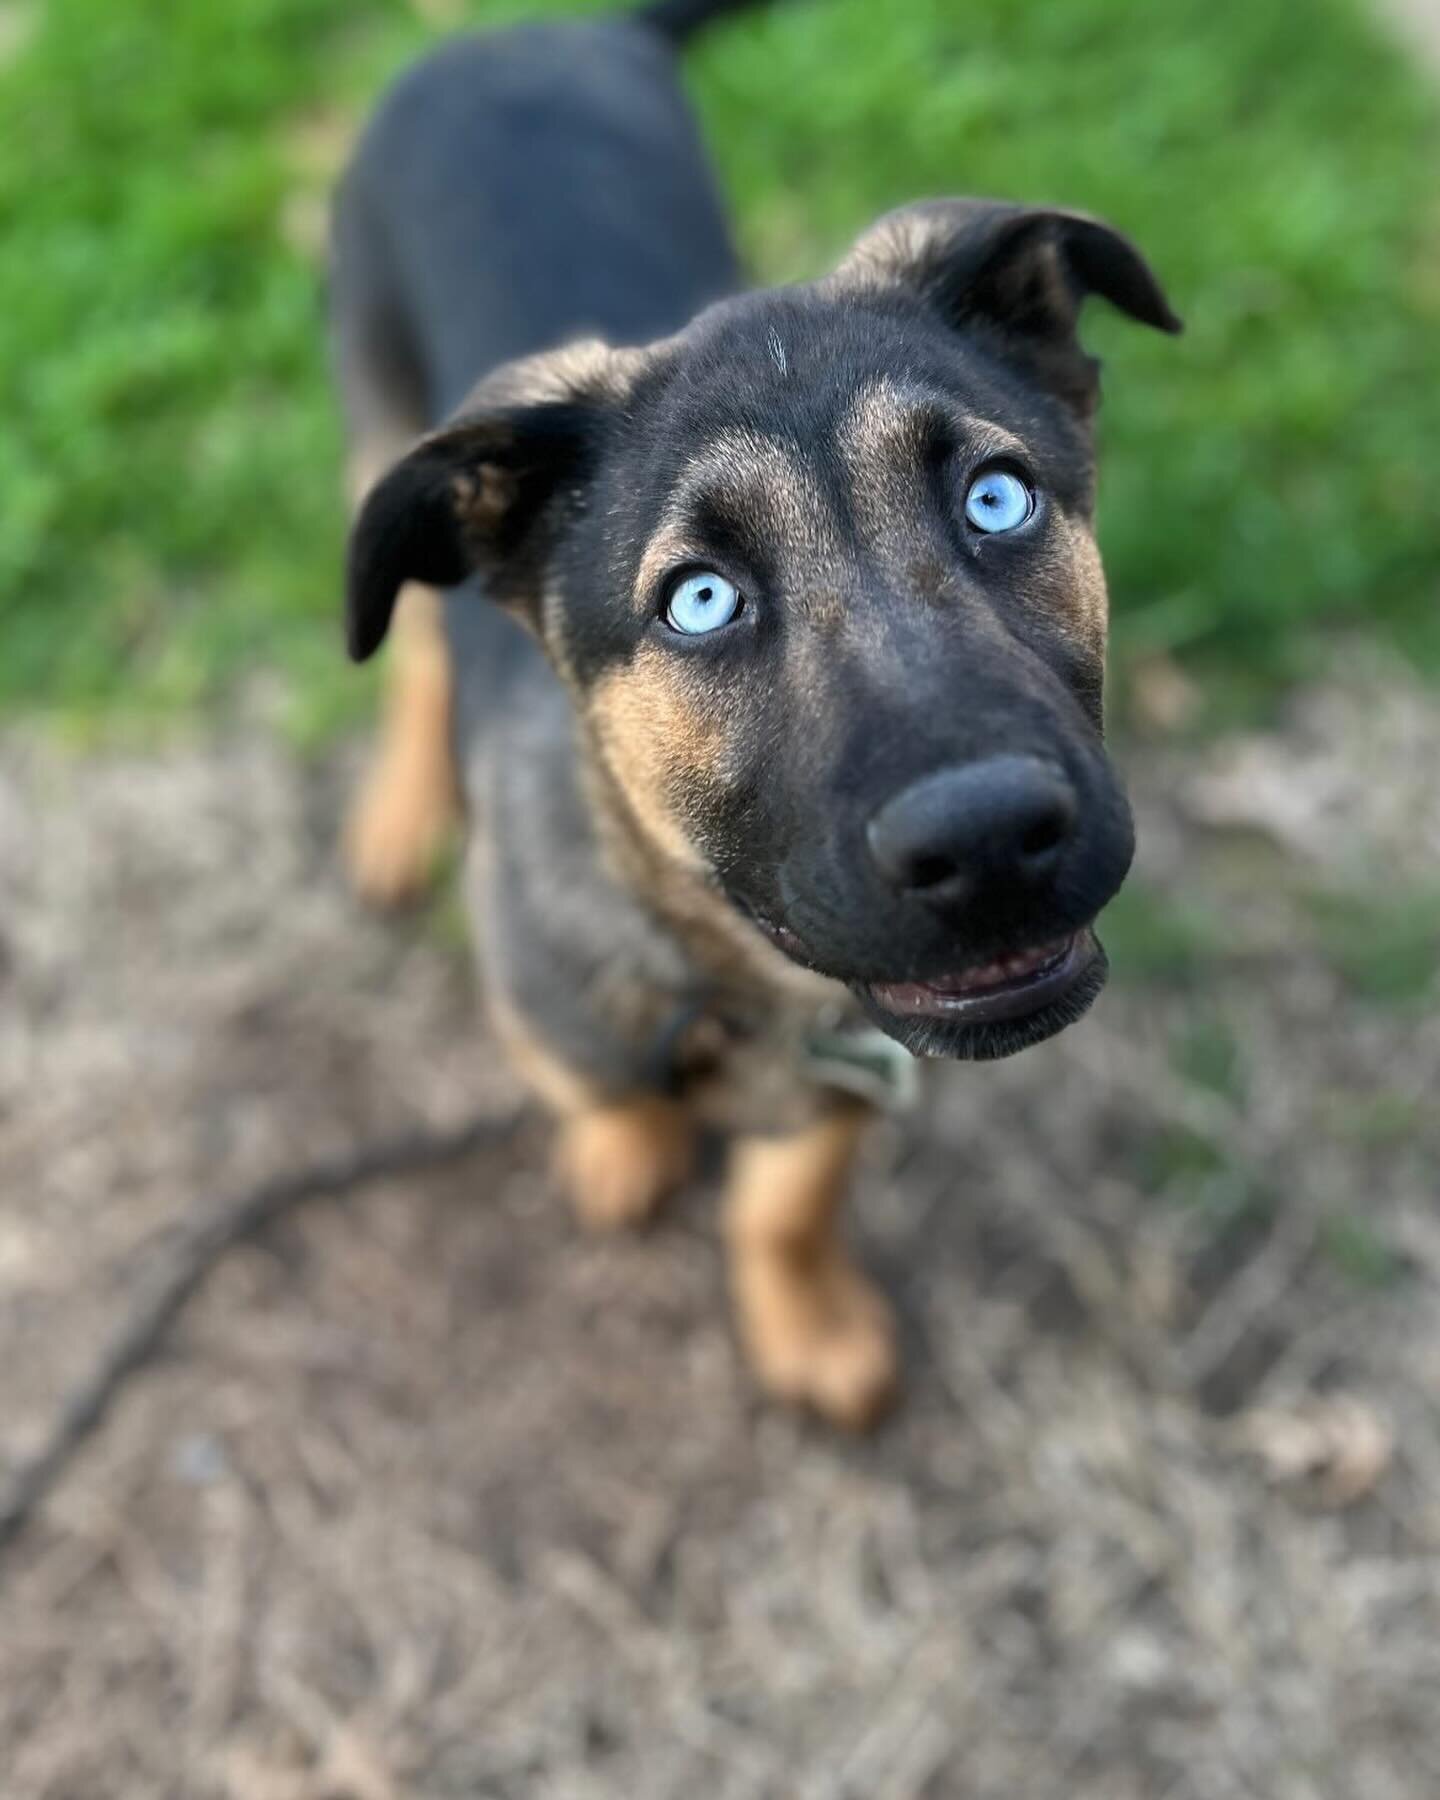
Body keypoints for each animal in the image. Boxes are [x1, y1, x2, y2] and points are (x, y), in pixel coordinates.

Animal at [334, 3, 1180, 1432]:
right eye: (702, 600)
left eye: (997, 499)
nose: (990, 840)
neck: (721, 965)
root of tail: (520, 33)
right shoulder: (549, 1003)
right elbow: (597, 1089)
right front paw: (628, 1148)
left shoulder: (854, 1054)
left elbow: (789, 1199)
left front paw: (805, 1317)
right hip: (372, 416)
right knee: (413, 660)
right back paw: (402, 809)